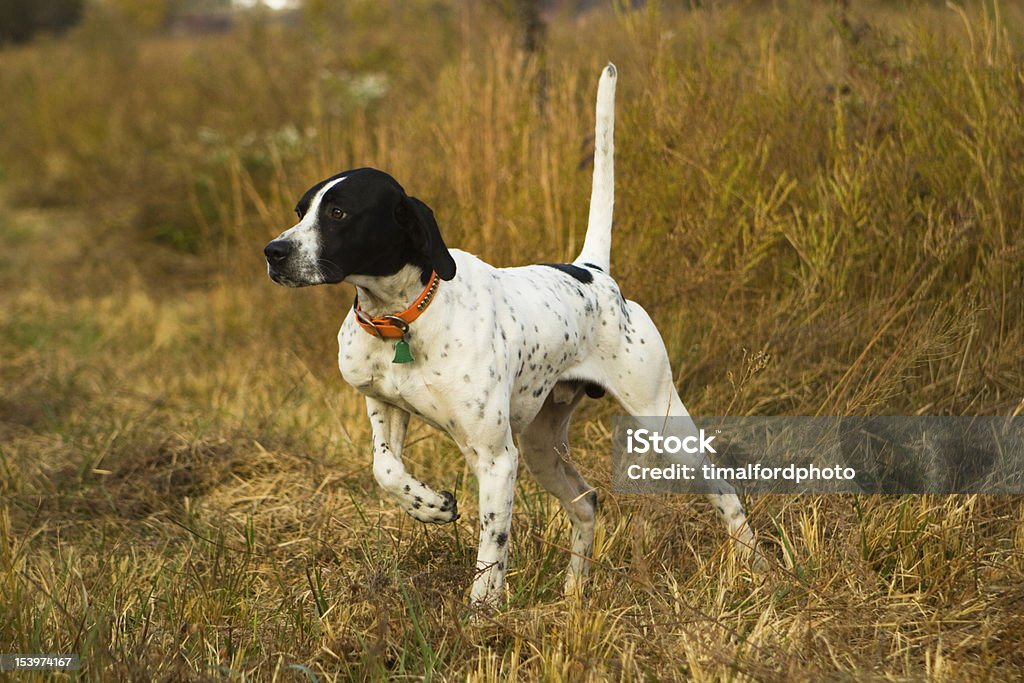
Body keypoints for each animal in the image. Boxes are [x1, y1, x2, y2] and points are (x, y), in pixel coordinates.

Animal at [264, 66, 761, 606]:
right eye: (300, 210)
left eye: (338, 214)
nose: (273, 252)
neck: (404, 318)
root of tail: (594, 272)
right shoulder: (385, 406)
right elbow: (386, 469)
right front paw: (429, 506)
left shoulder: (497, 459)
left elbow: (492, 546)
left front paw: (481, 613)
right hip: (543, 447)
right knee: (586, 502)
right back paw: (573, 593)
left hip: (663, 421)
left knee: (725, 492)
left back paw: (752, 569)